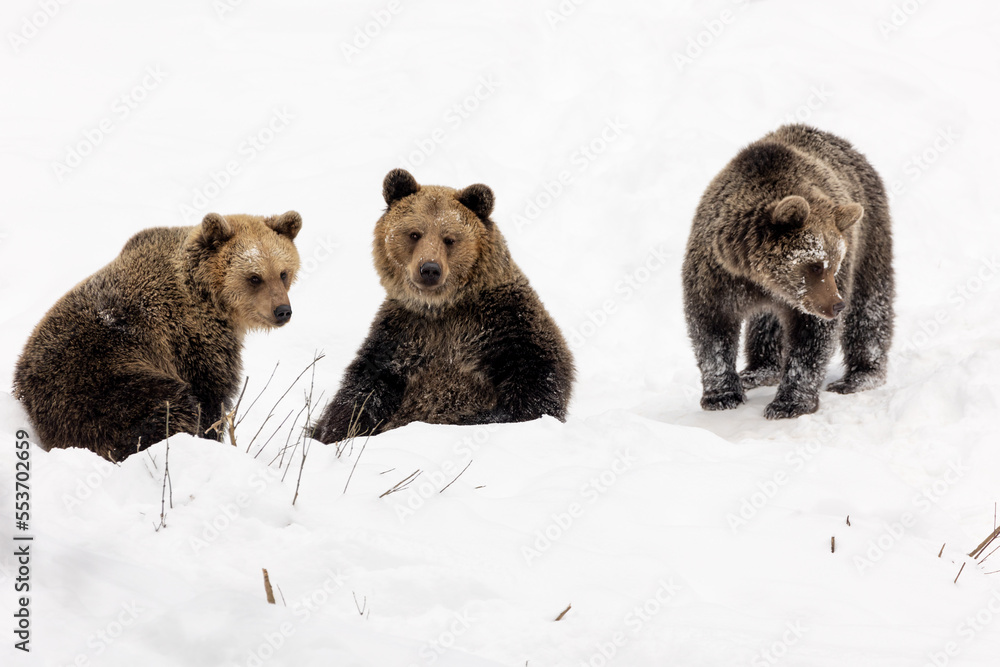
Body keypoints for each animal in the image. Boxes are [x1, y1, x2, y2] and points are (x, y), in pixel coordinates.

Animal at [13, 211, 302, 461]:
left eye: (283, 273)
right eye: (254, 277)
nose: (282, 311)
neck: (210, 298)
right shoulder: (193, 341)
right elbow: (211, 397)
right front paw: (211, 437)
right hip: (101, 386)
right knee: (167, 408)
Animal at [310, 169, 574, 443]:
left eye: (449, 239)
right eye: (414, 234)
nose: (429, 269)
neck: (441, 308)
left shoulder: (505, 322)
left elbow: (537, 378)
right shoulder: (402, 334)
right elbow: (364, 390)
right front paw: (336, 430)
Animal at [682, 124, 894, 419]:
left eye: (835, 263)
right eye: (815, 264)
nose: (837, 305)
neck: (758, 275)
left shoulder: (816, 294)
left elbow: (811, 338)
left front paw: (789, 403)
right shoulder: (717, 274)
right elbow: (711, 328)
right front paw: (722, 395)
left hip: (869, 234)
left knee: (870, 304)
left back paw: (859, 376)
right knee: (766, 322)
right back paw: (759, 370)